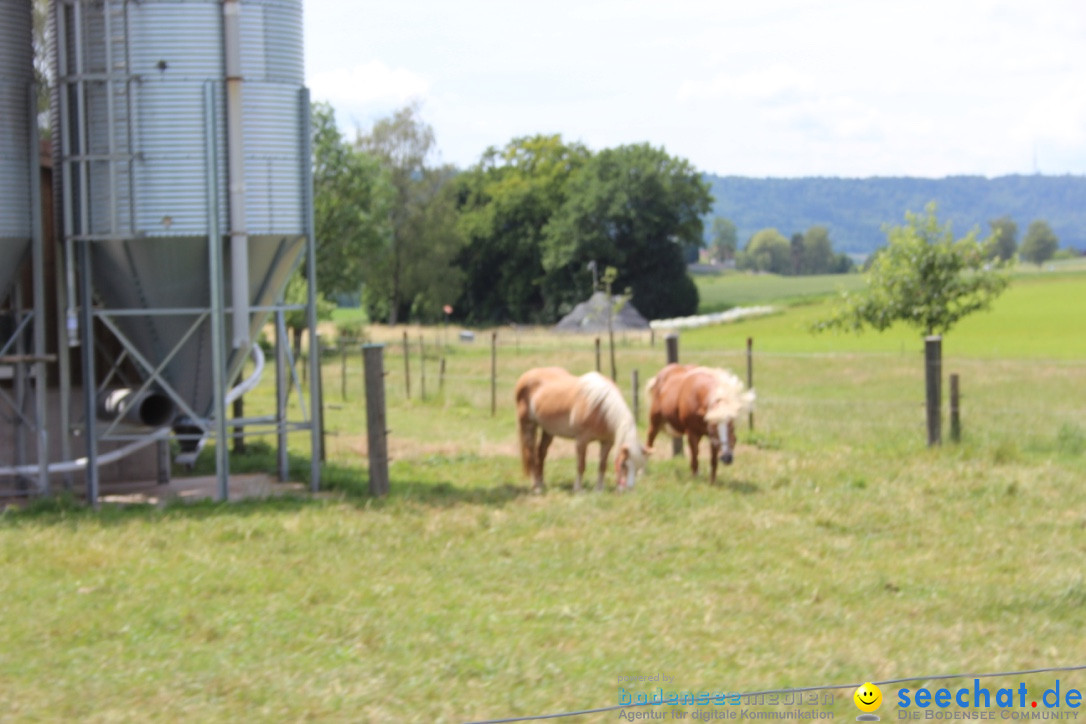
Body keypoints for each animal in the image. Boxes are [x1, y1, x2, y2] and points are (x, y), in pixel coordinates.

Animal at [514, 369, 647, 492]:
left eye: (638, 467)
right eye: (624, 464)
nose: (628, 489)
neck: (601, 409)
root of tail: (526, 376)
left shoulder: (607, 443)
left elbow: (602, 465)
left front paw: (599, 489)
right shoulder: (581, 441)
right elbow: (581, 465)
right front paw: (578, 489)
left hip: (548, 431)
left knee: (541, 453)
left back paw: (541, 483)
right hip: (528, 425)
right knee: (531, 454)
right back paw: (536, 486)